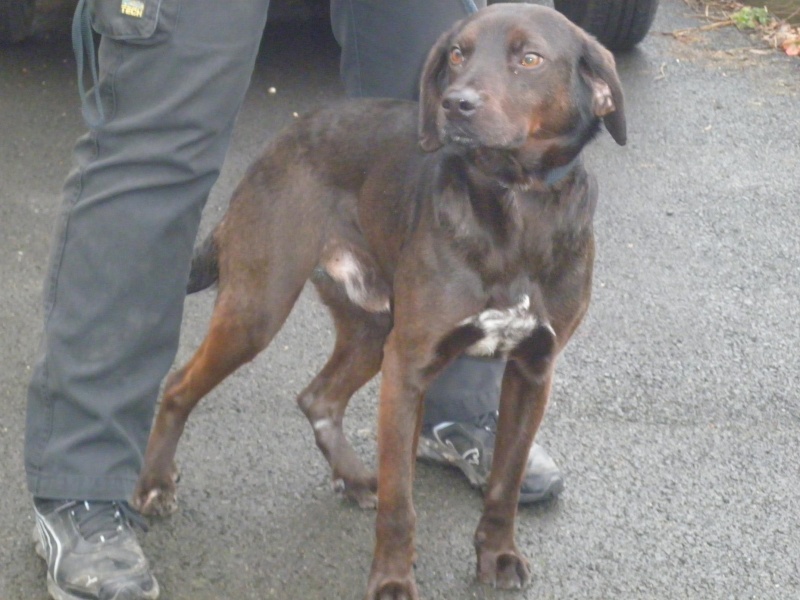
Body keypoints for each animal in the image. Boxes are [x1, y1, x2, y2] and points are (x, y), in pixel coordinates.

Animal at [133, 3, 624, 596]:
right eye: (457, 53)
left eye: (529, 58)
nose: (455, 103)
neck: (515, 203)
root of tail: (281, 140)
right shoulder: (409, 368)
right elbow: (400, 500)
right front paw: (392, 579)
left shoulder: (533, 370)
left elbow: (504, 482)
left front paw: (498, 555)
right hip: (259, 310)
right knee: (180, 385)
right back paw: (155, 484)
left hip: (372, 330)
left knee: (318, 398)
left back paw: (351, 476)